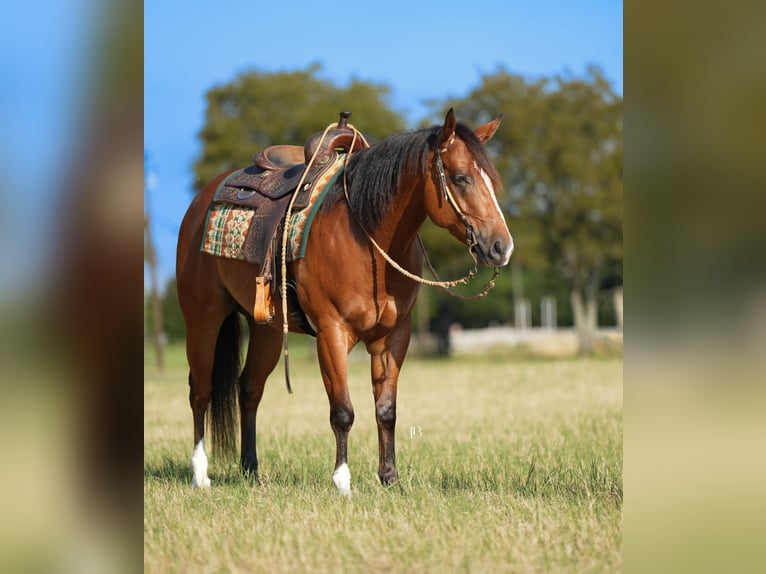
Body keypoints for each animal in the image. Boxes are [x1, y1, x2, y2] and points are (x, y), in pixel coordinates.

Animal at [176, 109, 513, 494]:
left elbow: (386, 410)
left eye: (492, 181)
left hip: (267, 330)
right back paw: (201, 474)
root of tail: (202, 201)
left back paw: (252, 472)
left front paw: (389, 478)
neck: (369, 240)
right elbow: (343, 411)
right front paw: (342, 481)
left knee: (249, 389)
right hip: (203, 319)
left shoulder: (393, 337)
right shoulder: (332, 334)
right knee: (201, 390)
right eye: (459, 178)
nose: (501, 247)